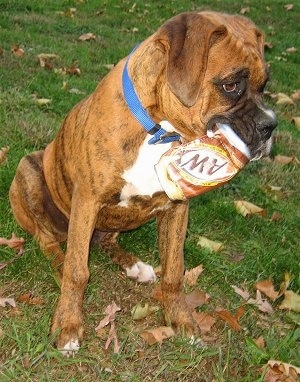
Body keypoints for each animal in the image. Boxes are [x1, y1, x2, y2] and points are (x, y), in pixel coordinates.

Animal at [9, 12, 276, 358]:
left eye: (265, 86)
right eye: (230, 85)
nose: (271, 126)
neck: (160, 130)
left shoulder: (177, 208)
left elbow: (174, 271)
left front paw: (182, 321)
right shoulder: (87, 200)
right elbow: (78, 272)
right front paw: (68, 325)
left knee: (105, 240)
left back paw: (134, 266)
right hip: (27, 172)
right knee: (47, 240)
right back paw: (58, 262)